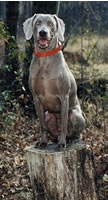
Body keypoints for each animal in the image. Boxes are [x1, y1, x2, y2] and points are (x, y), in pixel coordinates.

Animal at [23, 13, 85, 148]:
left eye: (50, 23)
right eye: (38, 22)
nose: (42, 32)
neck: (45, 57)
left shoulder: (64, 96)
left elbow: (63, 125)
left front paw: (62, 144)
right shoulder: (36, 98)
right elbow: (42, 126)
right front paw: (43, 142)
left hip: (76, 114)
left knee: (75, 133)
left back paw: (70, 140)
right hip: (48, 115)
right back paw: (54, 140)